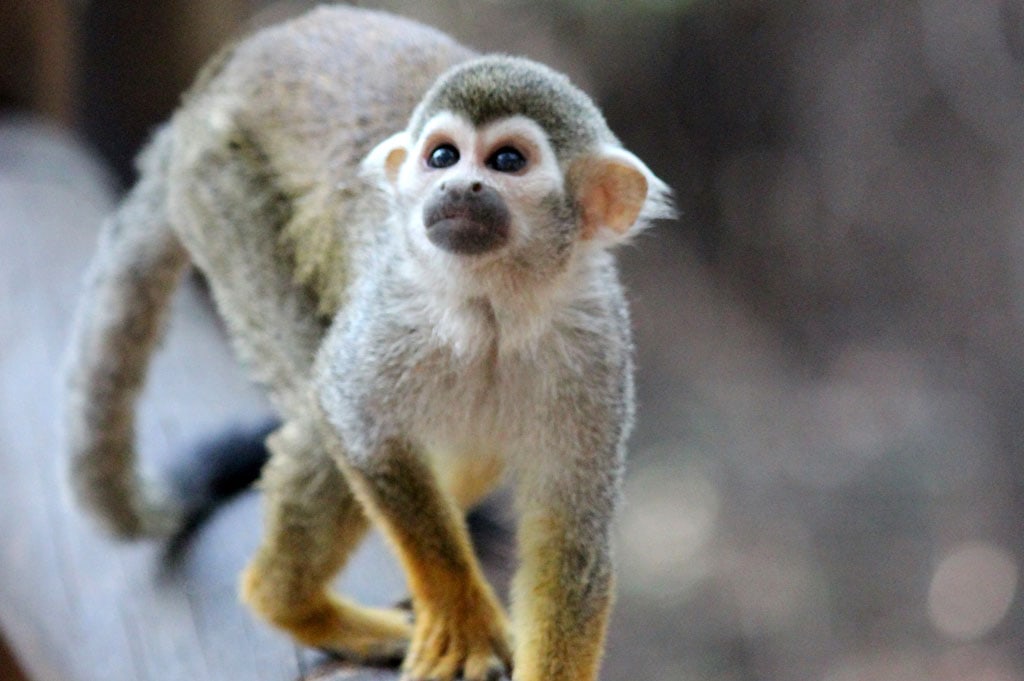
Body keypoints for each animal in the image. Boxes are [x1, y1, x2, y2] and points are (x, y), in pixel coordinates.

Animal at [62, 6, 673, 681]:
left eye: (508, 161)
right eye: (443, 156)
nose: (458, 187)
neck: (493, 309)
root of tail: (224, 71)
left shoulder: (598, 348)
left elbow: (572, 538)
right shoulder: (389, 306)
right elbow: (353, 421)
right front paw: (458, 613)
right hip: (218, 181)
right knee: (316, 414)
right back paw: (291, 605)